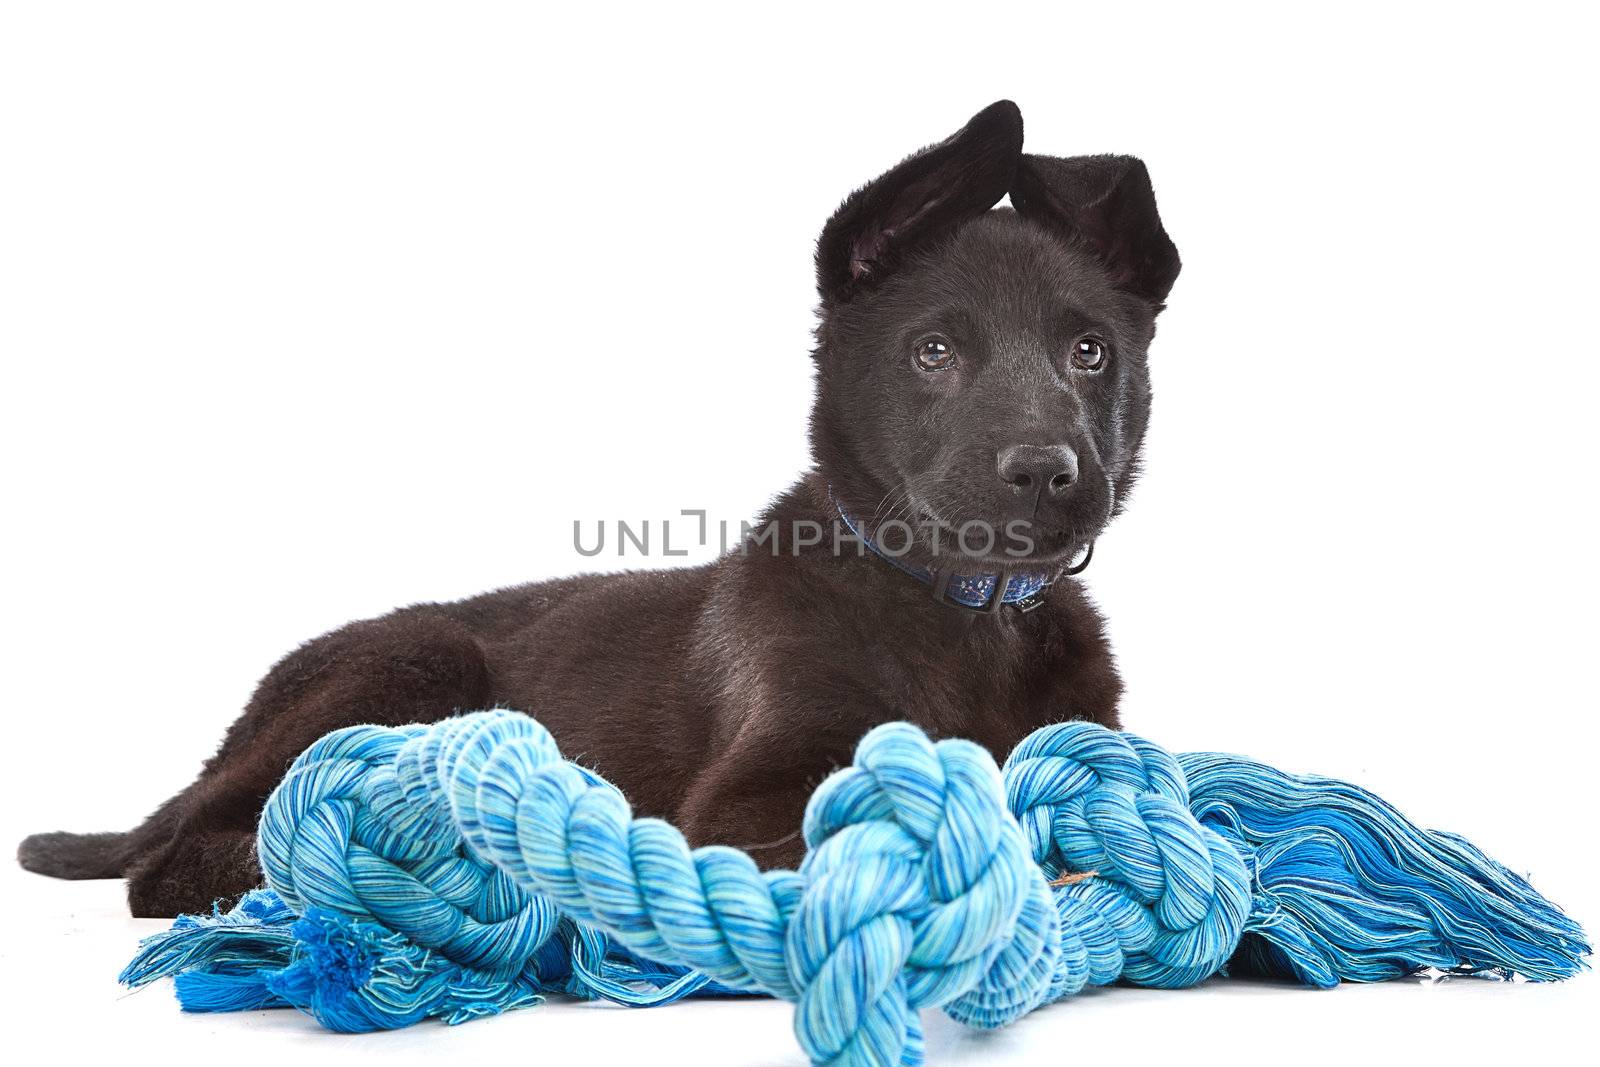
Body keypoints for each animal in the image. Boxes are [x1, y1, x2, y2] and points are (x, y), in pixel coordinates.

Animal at [18, 102, 1184, 921]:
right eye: (933, 351)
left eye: (1090, 351)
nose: (1045, 469)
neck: (965, 613)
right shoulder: (748, 801)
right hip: (414, 658)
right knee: (188, 857)